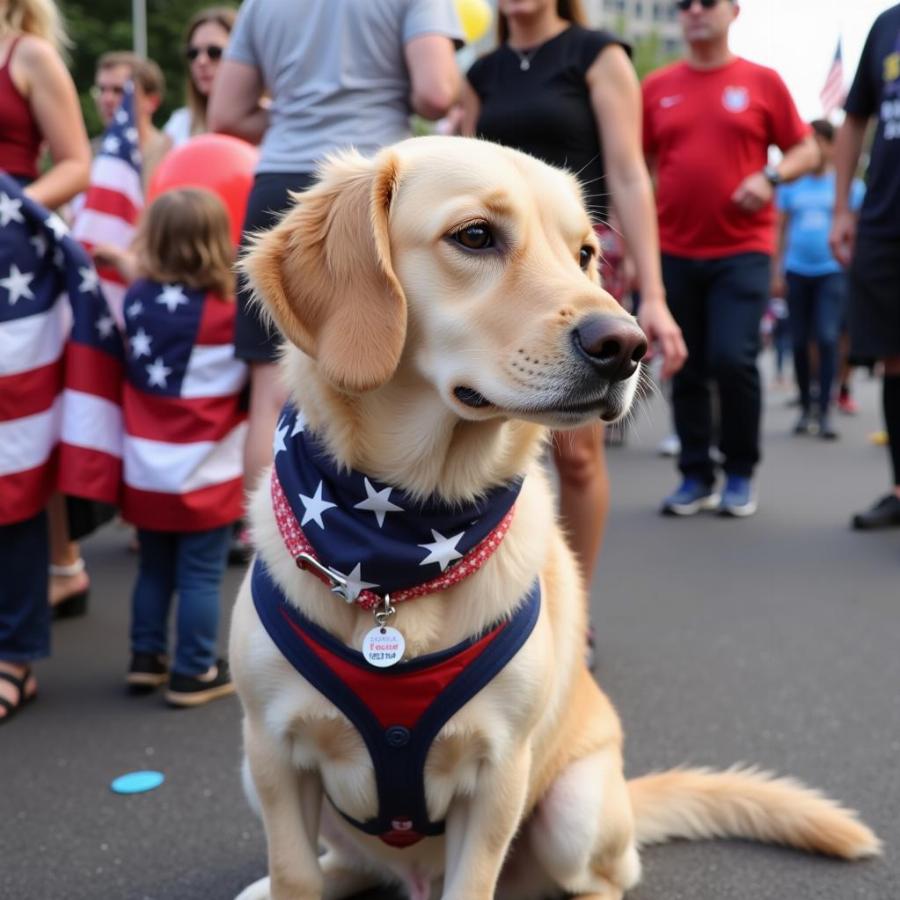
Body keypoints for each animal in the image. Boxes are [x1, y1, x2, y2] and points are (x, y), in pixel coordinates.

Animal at [230, 135, 880, 900]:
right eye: (475, 236)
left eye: (586, 253)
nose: (628, 345)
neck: (398, 539)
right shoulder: (273, 757)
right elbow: (294, 873)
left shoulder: (499, 775)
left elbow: (472, 883)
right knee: (347, 866)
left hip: (573, 806)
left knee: (602, 879)